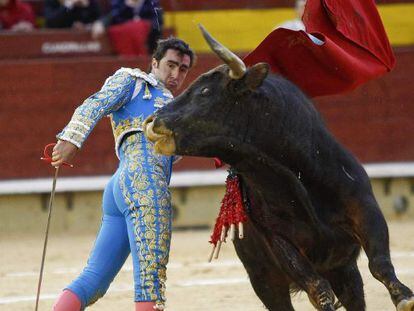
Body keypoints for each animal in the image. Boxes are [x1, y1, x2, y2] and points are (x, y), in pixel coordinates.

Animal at [143, 26, 414, 311]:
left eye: (205, 92)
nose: (152, 122)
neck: (293, 176)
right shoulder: (278, 240)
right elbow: (319, 289)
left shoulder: (363, 207)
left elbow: (379, 263)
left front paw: (404, 297)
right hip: (265, 281)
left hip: (344, 271)